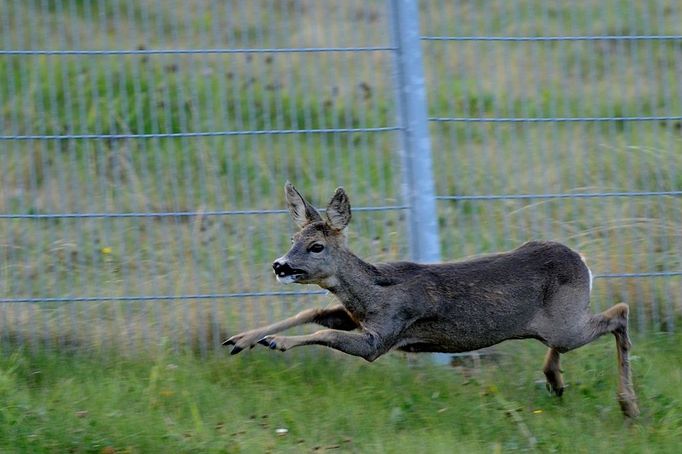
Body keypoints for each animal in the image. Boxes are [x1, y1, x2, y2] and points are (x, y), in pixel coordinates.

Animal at [224, 183, 636, 416]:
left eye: (316, 246)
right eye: (293, 239)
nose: (279, 265)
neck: (373, 292)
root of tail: (583, 261)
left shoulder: (385, 335)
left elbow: (325, 334)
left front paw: (275, 342)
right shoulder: (357, 317)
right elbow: (313, 310)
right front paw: (241, 339)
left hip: (567, 321)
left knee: (619, 312)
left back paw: (628, 404)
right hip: (559, 323)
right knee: (572, 338)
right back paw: (555, 381)